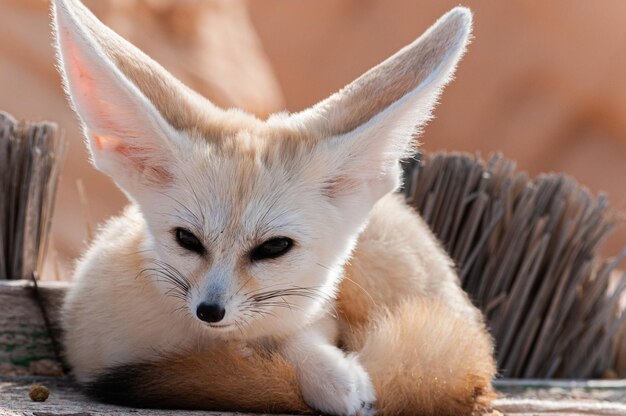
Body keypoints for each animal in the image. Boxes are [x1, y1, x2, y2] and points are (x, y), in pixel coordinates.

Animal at [53, 0, 492, 414]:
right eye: (186, 240)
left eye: (274, 248)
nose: (209, 311)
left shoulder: (318, 316)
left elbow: (297, 338)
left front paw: (333, 375)